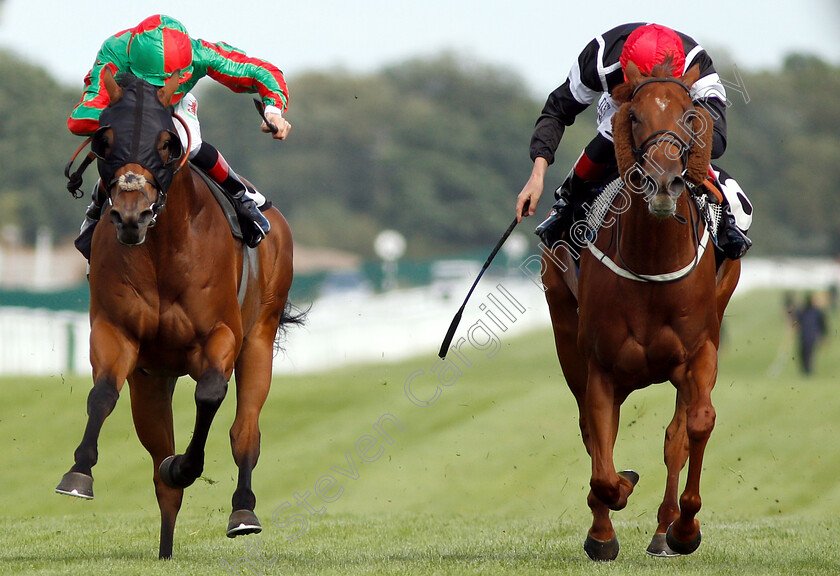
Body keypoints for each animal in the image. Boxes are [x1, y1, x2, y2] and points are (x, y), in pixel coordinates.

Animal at [56, 70, 298, 560]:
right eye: (104, 141)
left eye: (167, 143)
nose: (131, 214)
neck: (163, 251)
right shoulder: (117, 334)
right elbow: (102, 395)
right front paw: (79, 473)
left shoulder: (221, 336)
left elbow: (209, 395)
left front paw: (186, 466)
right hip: (153, 379)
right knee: (158, 463)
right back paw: (166, 545)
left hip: (259, 340)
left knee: (245, 431)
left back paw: (243, 511)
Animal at [540, 60, 740, 560]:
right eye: (634, 117)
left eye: (690, 114)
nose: (664, 181)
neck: (651, 262)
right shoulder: (602, 368)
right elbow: (603, 464)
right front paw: (604, 528)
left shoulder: (699, 352)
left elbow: (696, 426)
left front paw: (685, 528)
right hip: (563, 326)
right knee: (591, 433)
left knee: (675, 436)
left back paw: (665, 529)